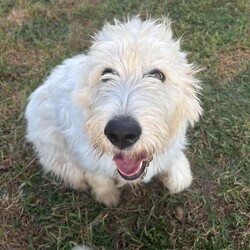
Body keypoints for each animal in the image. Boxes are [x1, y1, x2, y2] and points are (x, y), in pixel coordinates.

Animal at [24, 16, 202, 207]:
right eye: (106, 73)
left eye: (157, 75)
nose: (121, 132)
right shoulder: (85, 156)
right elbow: (96, 176)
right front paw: (108, 195)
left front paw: (178, 175)